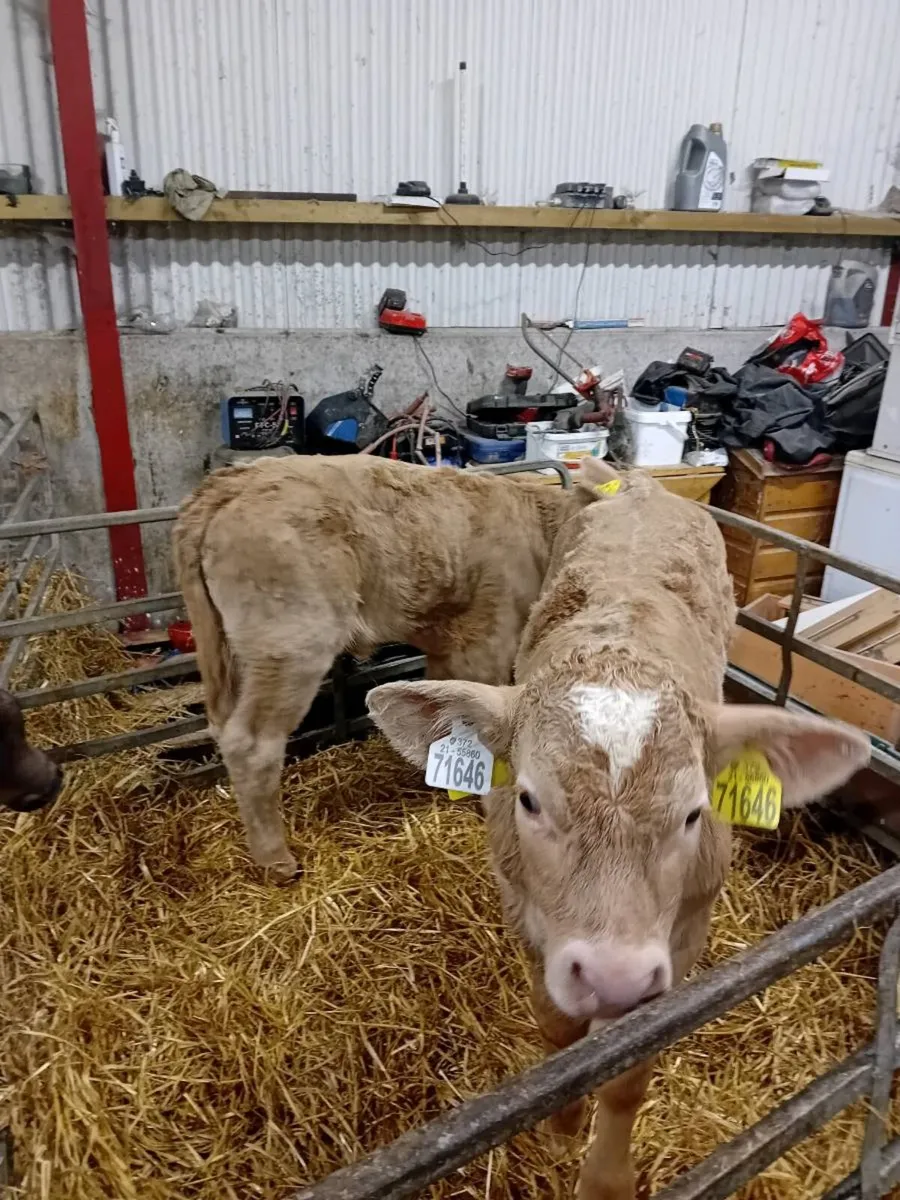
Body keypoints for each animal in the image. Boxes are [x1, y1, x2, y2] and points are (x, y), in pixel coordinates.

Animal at [173, 454, 604, 880]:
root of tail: (235, 480)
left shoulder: (447, 647)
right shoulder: (485, 641)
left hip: (230, 653)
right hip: (290, 644)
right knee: (252, 743)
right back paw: (276, 860)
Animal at [367, 457, 870, 1200]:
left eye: (694, 811)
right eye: (528, 800)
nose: (614, 976)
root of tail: (639, 481)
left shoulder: (682, 937)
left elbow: (629, 1072)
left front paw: (605, 1175)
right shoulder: (527, 914)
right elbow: (557, 1027)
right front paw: (561, 1126)